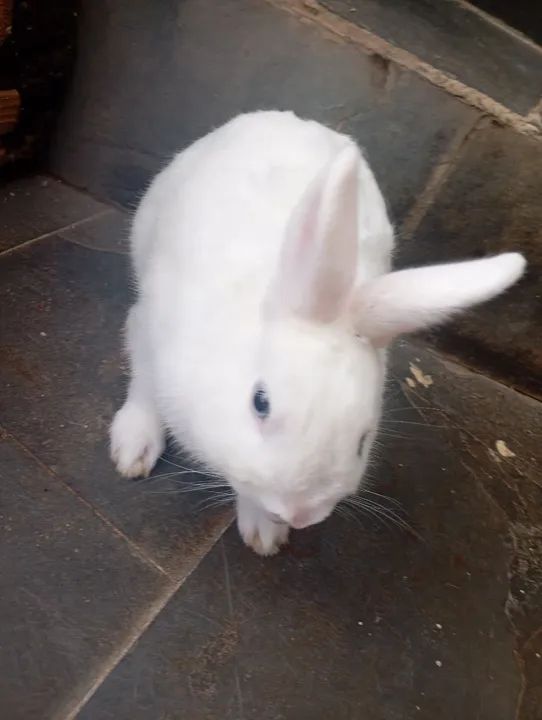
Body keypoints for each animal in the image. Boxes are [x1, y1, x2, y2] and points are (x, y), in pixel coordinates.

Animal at [110, 110, 525, 556]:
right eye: (260, 403)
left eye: (362, 441)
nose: (300, 514)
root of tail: (282, 117)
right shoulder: (148, 327)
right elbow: (144, 383)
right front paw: (133, 448)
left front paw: (264, 534)